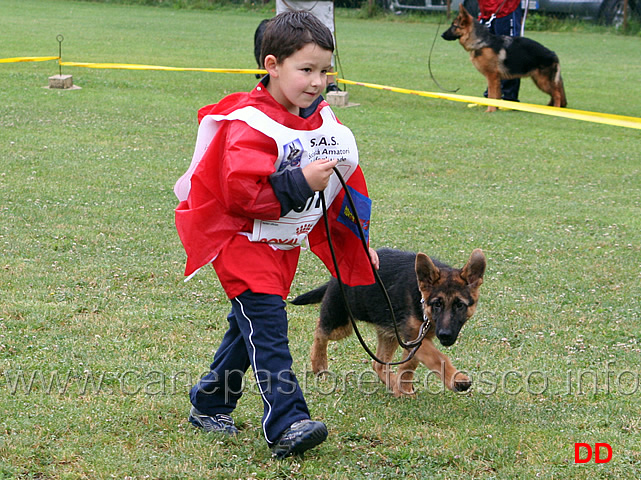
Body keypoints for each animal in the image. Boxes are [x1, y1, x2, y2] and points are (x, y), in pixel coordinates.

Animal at [290, 248, 484, 398]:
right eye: (437, 304)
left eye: (459, 305)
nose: (445, 335)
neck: (420, 299)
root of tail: (334, 276)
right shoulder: (413, 337)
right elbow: (438, 358)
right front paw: (457, 379)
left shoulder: (415, 338)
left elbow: (409, 364)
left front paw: (403, 388)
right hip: (341, 323)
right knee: (320, 331)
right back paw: (319, 364)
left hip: (389, 331)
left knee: (378, 363)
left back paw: (392, 383)